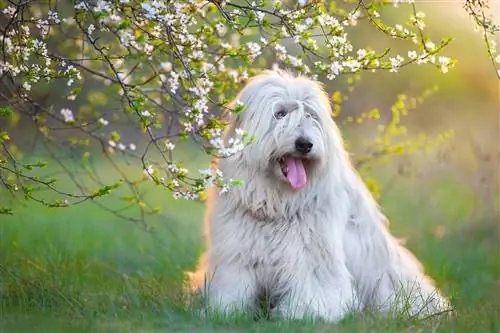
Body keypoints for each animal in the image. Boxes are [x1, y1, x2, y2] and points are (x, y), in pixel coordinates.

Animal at [186, 68, 452, 320]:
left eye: (311, 115)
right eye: (280, 113)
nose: (304, 144)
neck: (276, 203)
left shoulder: (310, 257)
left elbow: (313, 289)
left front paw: (301, 314)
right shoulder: (237, 256)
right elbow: (233, 288)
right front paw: (224, 311)